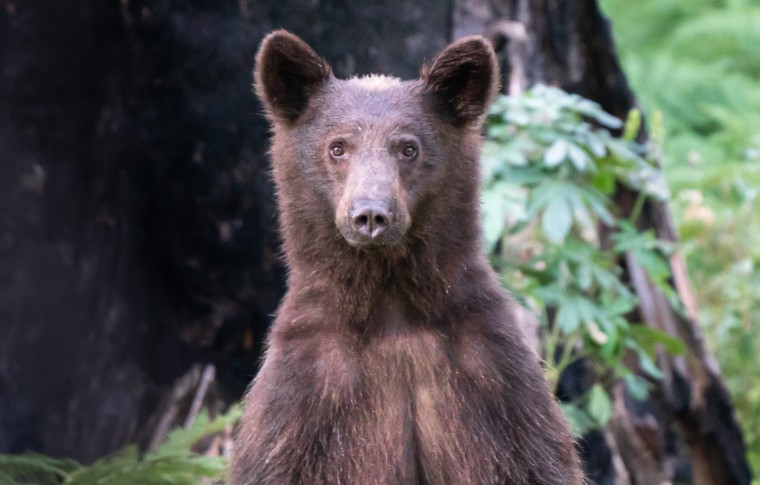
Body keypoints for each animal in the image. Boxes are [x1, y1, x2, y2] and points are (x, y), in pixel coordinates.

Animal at [235, 31, 584, 484]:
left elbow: (534, 460)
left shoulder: (495, 379)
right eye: (337, 147)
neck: (390, 299)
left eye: (408, 147)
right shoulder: (305, 392)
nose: (371, 214)